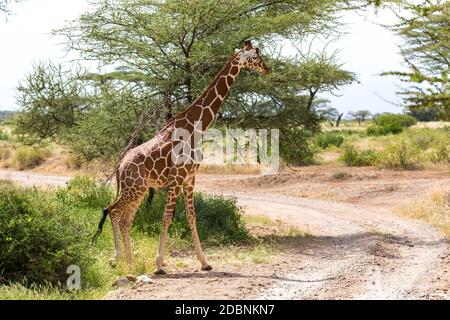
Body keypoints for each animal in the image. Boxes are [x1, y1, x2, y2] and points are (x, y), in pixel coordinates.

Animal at [92, 40, 268, 276]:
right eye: (256, 56)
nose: (266, 70)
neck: (197, 126)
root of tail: (120, 165)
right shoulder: (176, 179)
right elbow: (167, 217)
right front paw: (159, 264)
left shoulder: (190, 179)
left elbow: (192, 217)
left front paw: (204, 262)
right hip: (133, 188)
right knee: (112, 211)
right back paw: (118, 259)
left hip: (139, 190)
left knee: (125, 220)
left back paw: (130, 263)